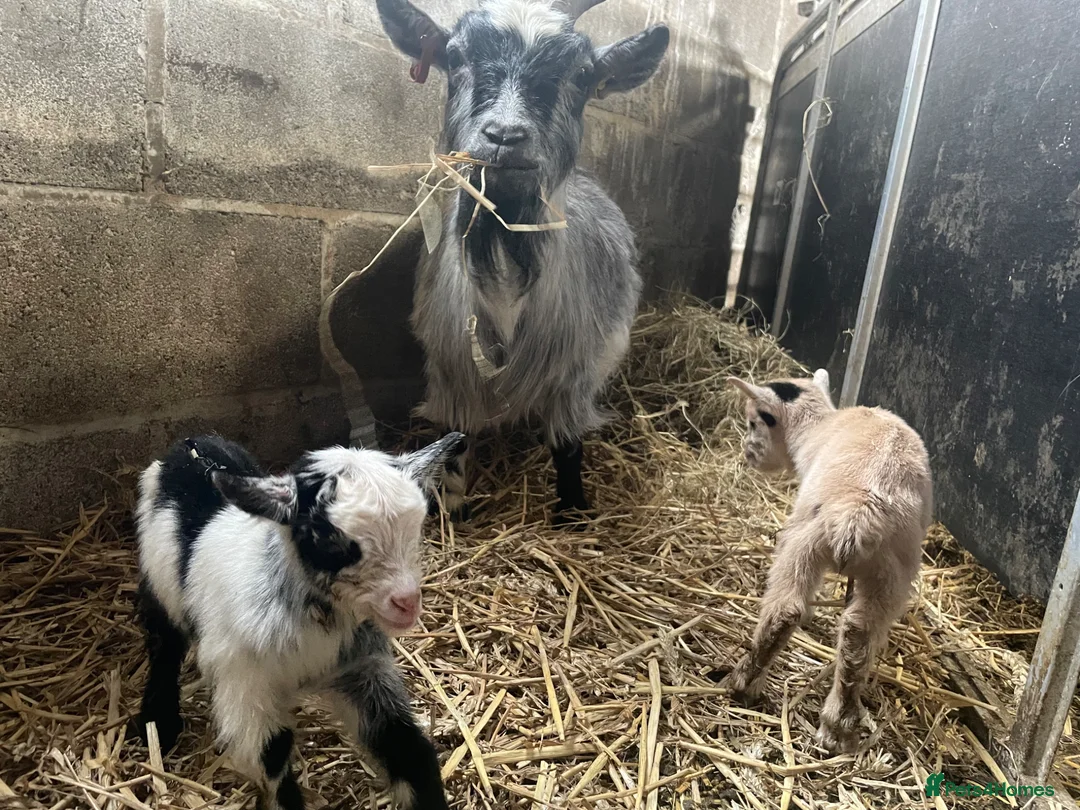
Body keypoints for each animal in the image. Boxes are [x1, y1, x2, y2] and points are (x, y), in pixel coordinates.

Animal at [132, 432, 464, 810]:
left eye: (417, 526)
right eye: (327, 537)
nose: (406, 602)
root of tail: (191, 443)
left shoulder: (361, 670)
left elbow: (408, 749)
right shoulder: (246, 687)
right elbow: (273, 761)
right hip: (159, 582)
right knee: (164, 643)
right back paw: (157, 720)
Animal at [375, 0, 670, 523]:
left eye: (583, 74)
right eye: (455, 56)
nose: (505, 135)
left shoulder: (575, 371)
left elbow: (568, 445)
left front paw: (572, 513)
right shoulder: (450, 369)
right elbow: (454, 442)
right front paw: (455, 510)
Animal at [722, 369, 932, 753]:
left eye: (753, 421)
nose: (747, 454)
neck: (816, 426)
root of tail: (858, 514)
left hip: (802, 541)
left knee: (785, 610)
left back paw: (743, 682)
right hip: (893, 573)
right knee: (859, 632)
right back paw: (838, 725)